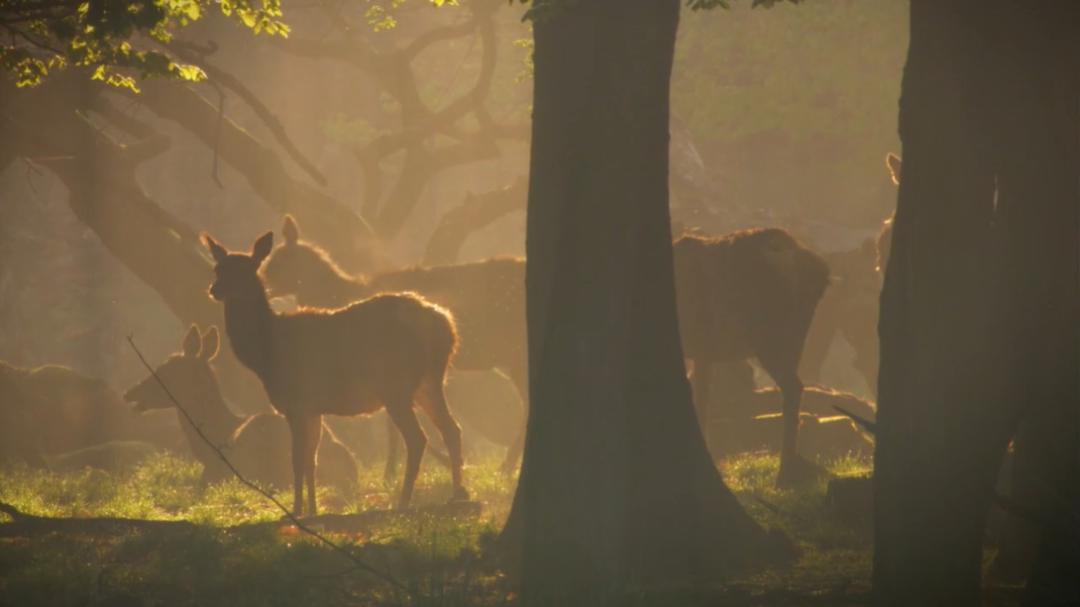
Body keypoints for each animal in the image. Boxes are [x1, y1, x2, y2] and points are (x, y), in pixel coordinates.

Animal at [204, 228, 466, 511]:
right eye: (218, 268)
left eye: (248, 269)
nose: (215, 289)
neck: (265, 355)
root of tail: (446, 326)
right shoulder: (313, 408)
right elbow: (312, 460)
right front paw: (312, 509)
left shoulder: (296, 403)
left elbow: (297, 460)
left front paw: (295, 511)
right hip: (429, 383)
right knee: (452, 429)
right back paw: (457, 494)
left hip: (397, 385)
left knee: (418, 438)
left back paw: (403, 501)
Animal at [258, 216, 527, 473]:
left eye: (277, 263)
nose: (264, 287)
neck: (341, 294)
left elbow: (392, 425)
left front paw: (392, 470)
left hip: (513, 352)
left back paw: (506, 466)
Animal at [669, 226, 829, 486]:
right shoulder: (704, 353)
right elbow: (702, 399)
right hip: (795, 340)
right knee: (796, 387)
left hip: (771, 340)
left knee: (793, 388)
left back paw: (784, 474)